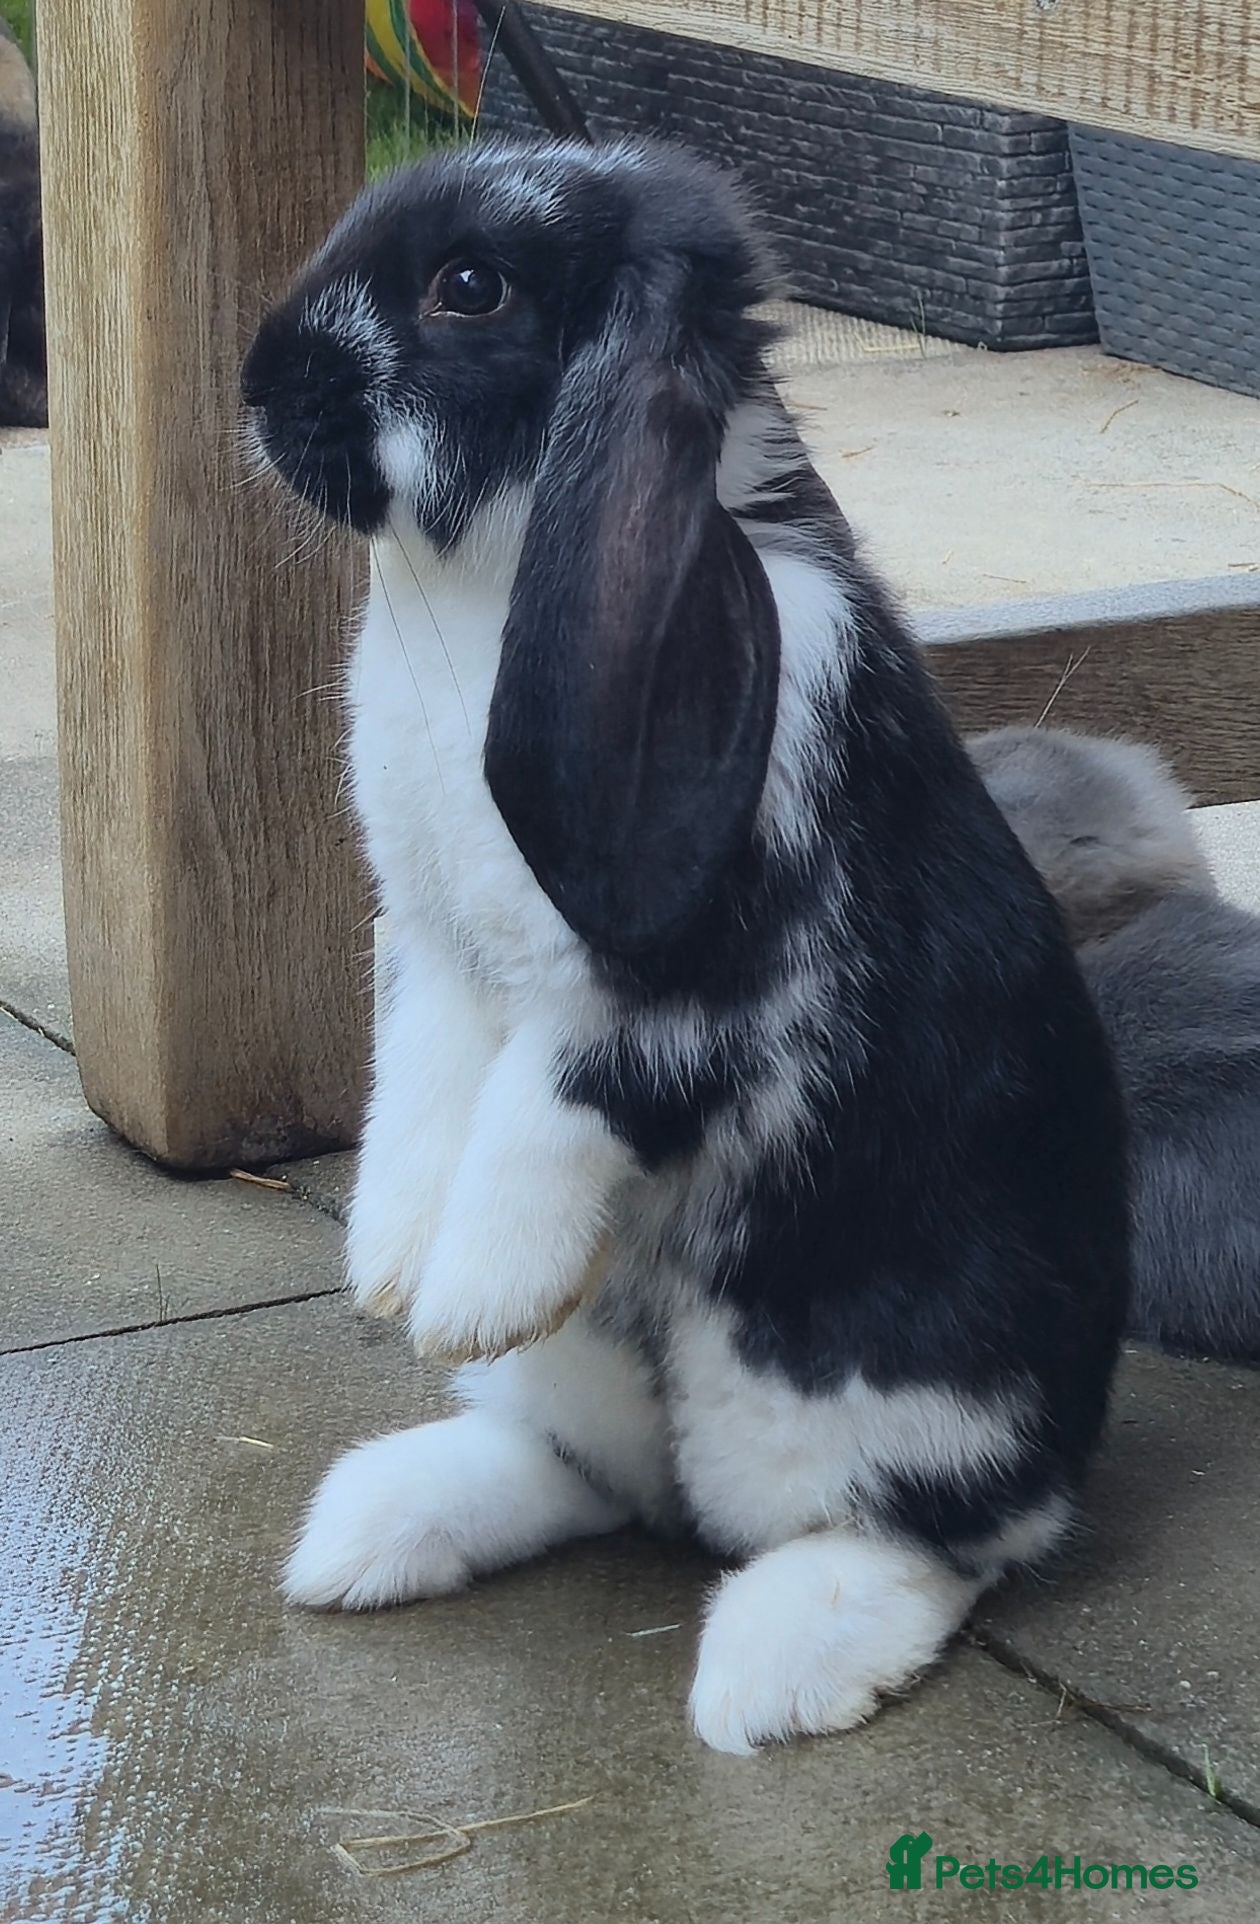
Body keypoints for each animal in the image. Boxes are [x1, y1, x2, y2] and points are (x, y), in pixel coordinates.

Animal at [242, 138, 1128, 1754]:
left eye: (471, 286)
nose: (260, 384)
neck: (487, 579)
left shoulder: (675, 1001)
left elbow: (543, 1117)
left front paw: (466, 1297)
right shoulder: (436, 963)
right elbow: (420, 1109)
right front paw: (395, 1277)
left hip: (869, 1399)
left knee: (932, 1536)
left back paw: (776, 1672)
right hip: (593, 1378)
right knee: (600, 1483)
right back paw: (372, 1531)